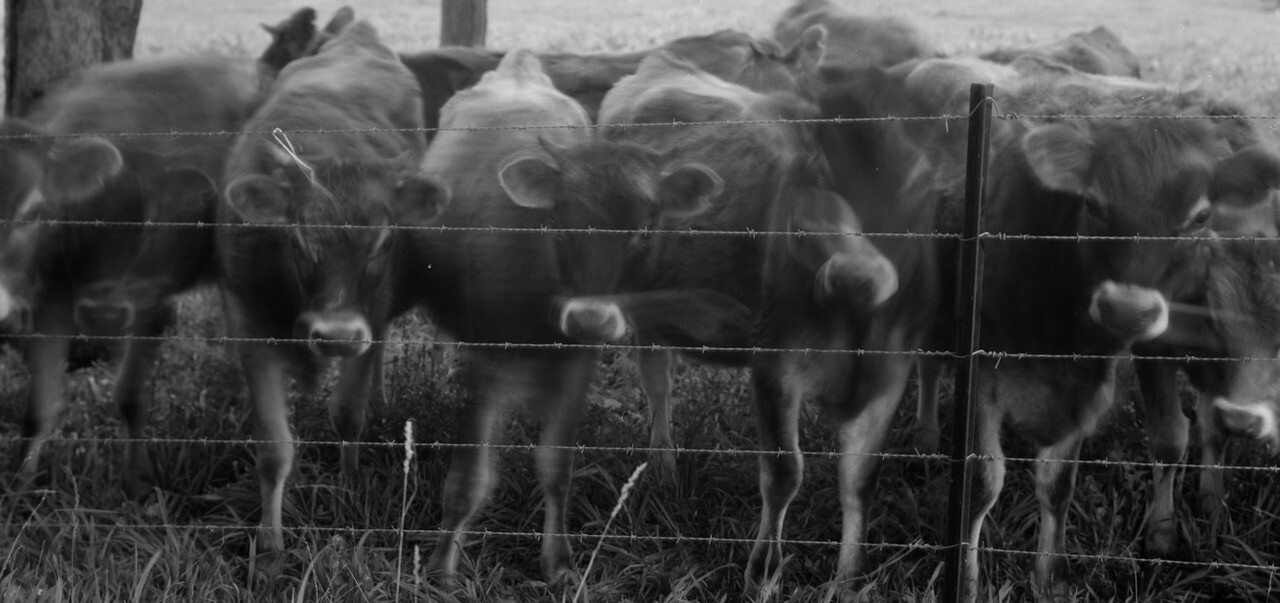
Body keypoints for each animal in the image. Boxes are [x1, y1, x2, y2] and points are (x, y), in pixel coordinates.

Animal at [1, 56, 261, 498]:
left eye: (33, 210)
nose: (103, 310)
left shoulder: (151, 300)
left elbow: (132, 395)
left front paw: (138, 482)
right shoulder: (51, 298)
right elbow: (39, 408)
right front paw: (19, 489)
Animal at [217, 20, 447, 553]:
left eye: (384, 238)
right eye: (297, 238)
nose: (337, 335)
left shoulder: (370, 316)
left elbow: (347, 414)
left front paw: (348, 483)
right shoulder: (251, 328)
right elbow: (274, 449)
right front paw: (270, 547)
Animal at [389, 48, 725, 584]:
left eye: (645, 230)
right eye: (562, 226)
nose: (590, 319)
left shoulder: (577, 363)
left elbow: (556, 467)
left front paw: (559, 561)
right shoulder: (488, 358)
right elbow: (469, 478)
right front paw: (441, 568)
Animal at [792, 47, 1280, 600]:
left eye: (1200, 217)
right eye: (1092, 202)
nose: (1127, 308)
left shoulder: (1086, 381)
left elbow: (1058, 483)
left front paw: (1050, 576)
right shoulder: (984, 375)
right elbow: (983, 482)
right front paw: (968, 580)